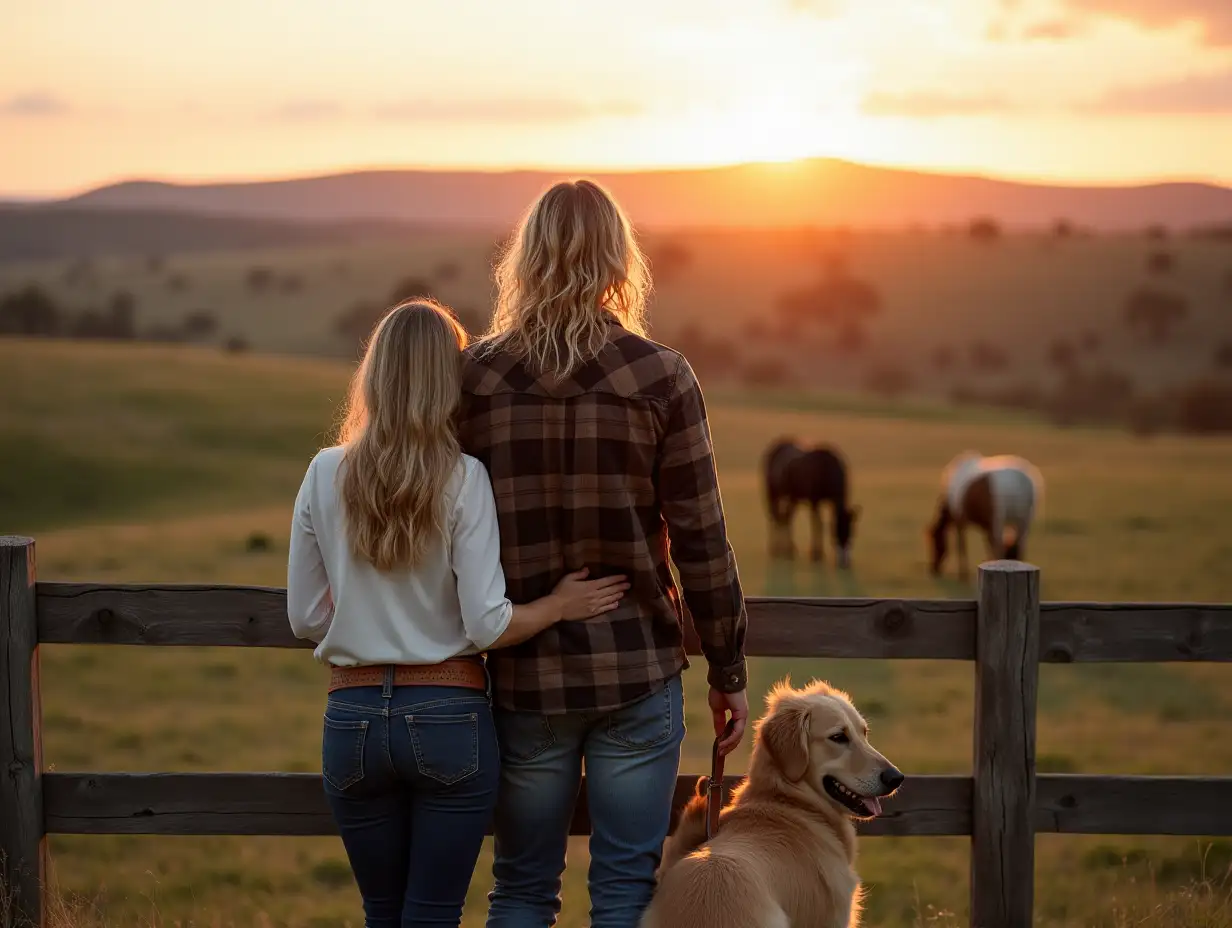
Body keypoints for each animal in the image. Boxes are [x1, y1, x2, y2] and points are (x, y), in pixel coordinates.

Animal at [763, 438, 862, 569]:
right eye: (837, 530)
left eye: (851, 531)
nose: (844, 563)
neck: (826, 469)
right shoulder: (814, 502)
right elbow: (817, 524)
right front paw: (816, 555)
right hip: (772, 495)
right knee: (773, 517)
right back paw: (775, 550)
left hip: (793, 498)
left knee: (786, 518)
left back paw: (788, 550)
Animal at [926, 451, 1044, 579]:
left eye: (935, 542)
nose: (933, 569)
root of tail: (1023, 482)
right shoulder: (986, 526)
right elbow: (987, 546)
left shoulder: (961, 521)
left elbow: (962, 547)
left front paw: (963, 575)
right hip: (1023, 521)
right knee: (1021, 545)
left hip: (999, 521)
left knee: (999, 547)